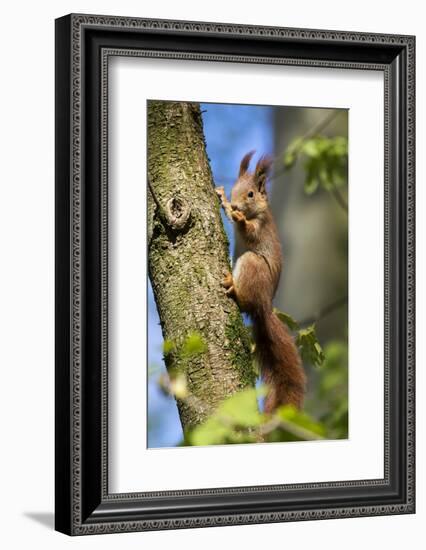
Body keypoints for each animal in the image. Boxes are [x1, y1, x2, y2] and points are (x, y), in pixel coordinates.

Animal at [218, 151, 304, 414]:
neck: (255, 212)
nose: (236, 205)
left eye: (251, 194)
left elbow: (249, 230)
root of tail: (264, 305)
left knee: (244, 299)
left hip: (251, 265)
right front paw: (223, 199)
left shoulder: (261, 226)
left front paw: (238, 217)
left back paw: (233, 285)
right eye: (234, 189)